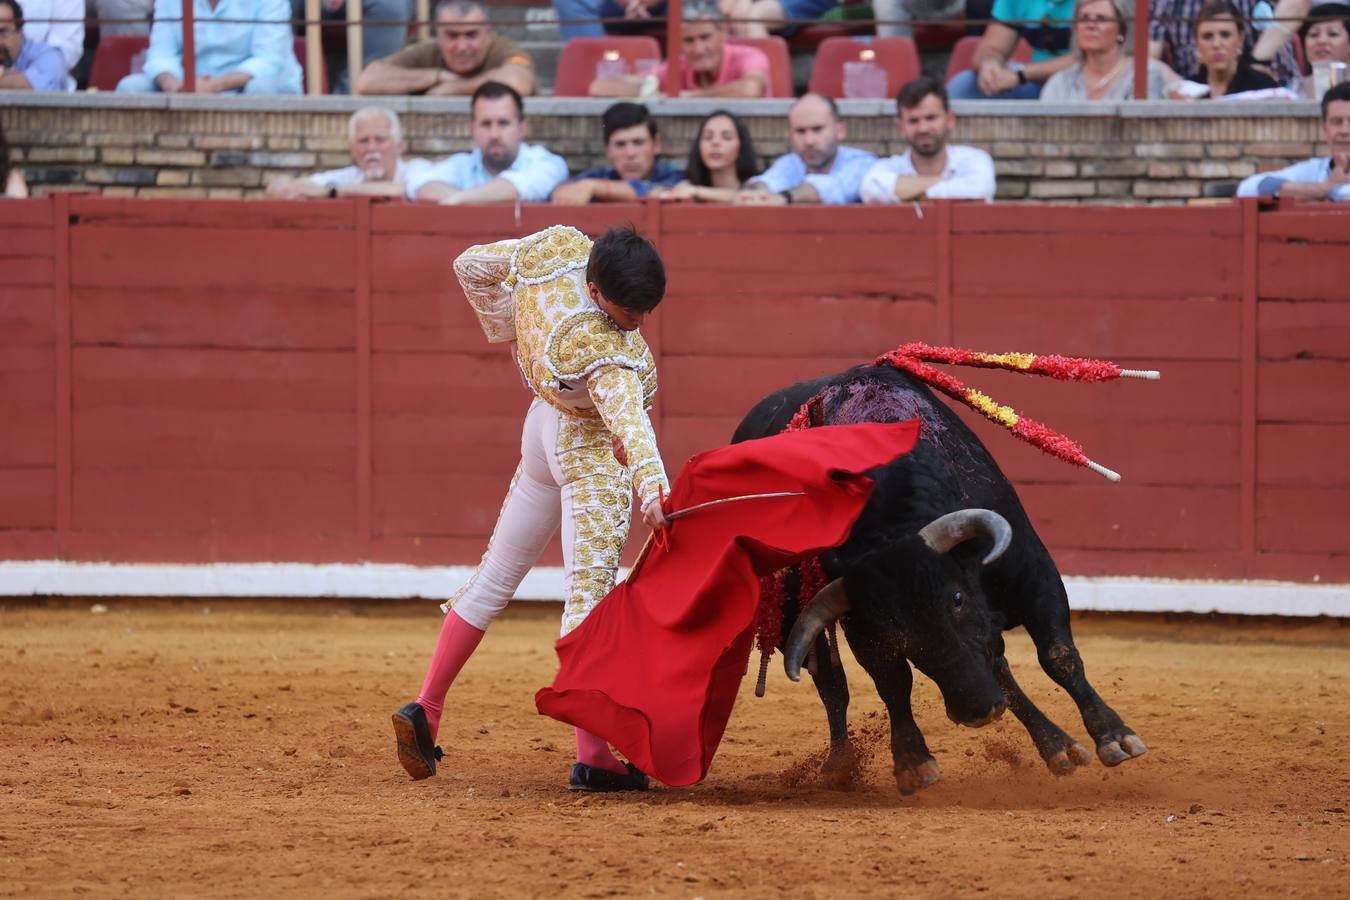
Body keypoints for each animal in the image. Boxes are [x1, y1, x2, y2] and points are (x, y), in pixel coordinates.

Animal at [734, 367, 1144, 793]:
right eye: (892, 626)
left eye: (957, 598)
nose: (976, 710)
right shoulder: (862, 621)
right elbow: (892, 682)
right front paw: (914, 762)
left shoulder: (1035, 574)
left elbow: (1058, 655)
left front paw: (1114, 737)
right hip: (787, 620)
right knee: (833, 684)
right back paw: (840, 767)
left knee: (999, 663)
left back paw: (1056, 746)